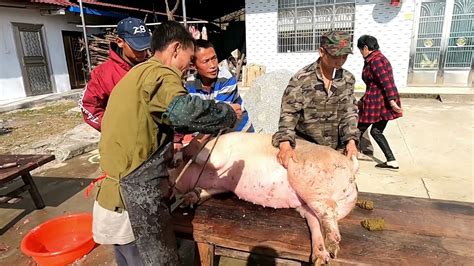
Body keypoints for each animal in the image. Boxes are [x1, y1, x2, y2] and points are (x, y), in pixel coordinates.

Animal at [168, 132, 358, 262]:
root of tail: (351, 165)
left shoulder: (218, 153)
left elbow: (200, 154)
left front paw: (184, 153)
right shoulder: (220, 186)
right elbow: (204, 191)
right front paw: (188, 200)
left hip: (309, 182)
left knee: (328, 210)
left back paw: (332, 247)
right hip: (306, 206)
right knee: (316, 222)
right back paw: (322, 258)